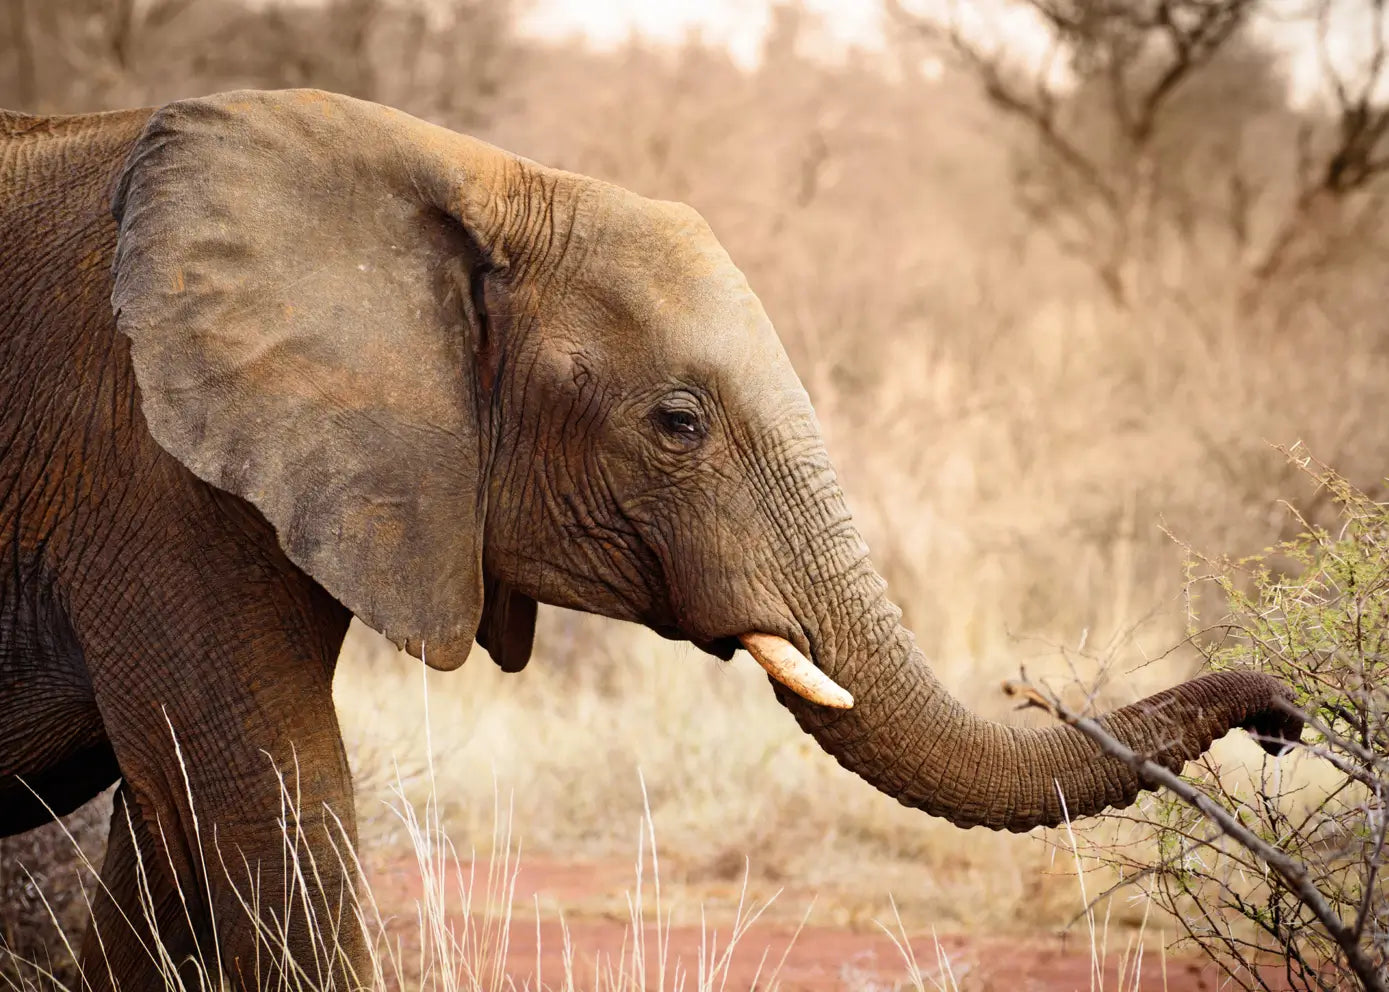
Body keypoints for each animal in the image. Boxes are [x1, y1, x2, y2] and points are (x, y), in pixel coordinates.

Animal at [0, 88, 1300, 989]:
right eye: (679, 422)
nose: (1286, 717)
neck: (464, 180)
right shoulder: (147, 476)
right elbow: (270, 810)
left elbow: (169, 850)